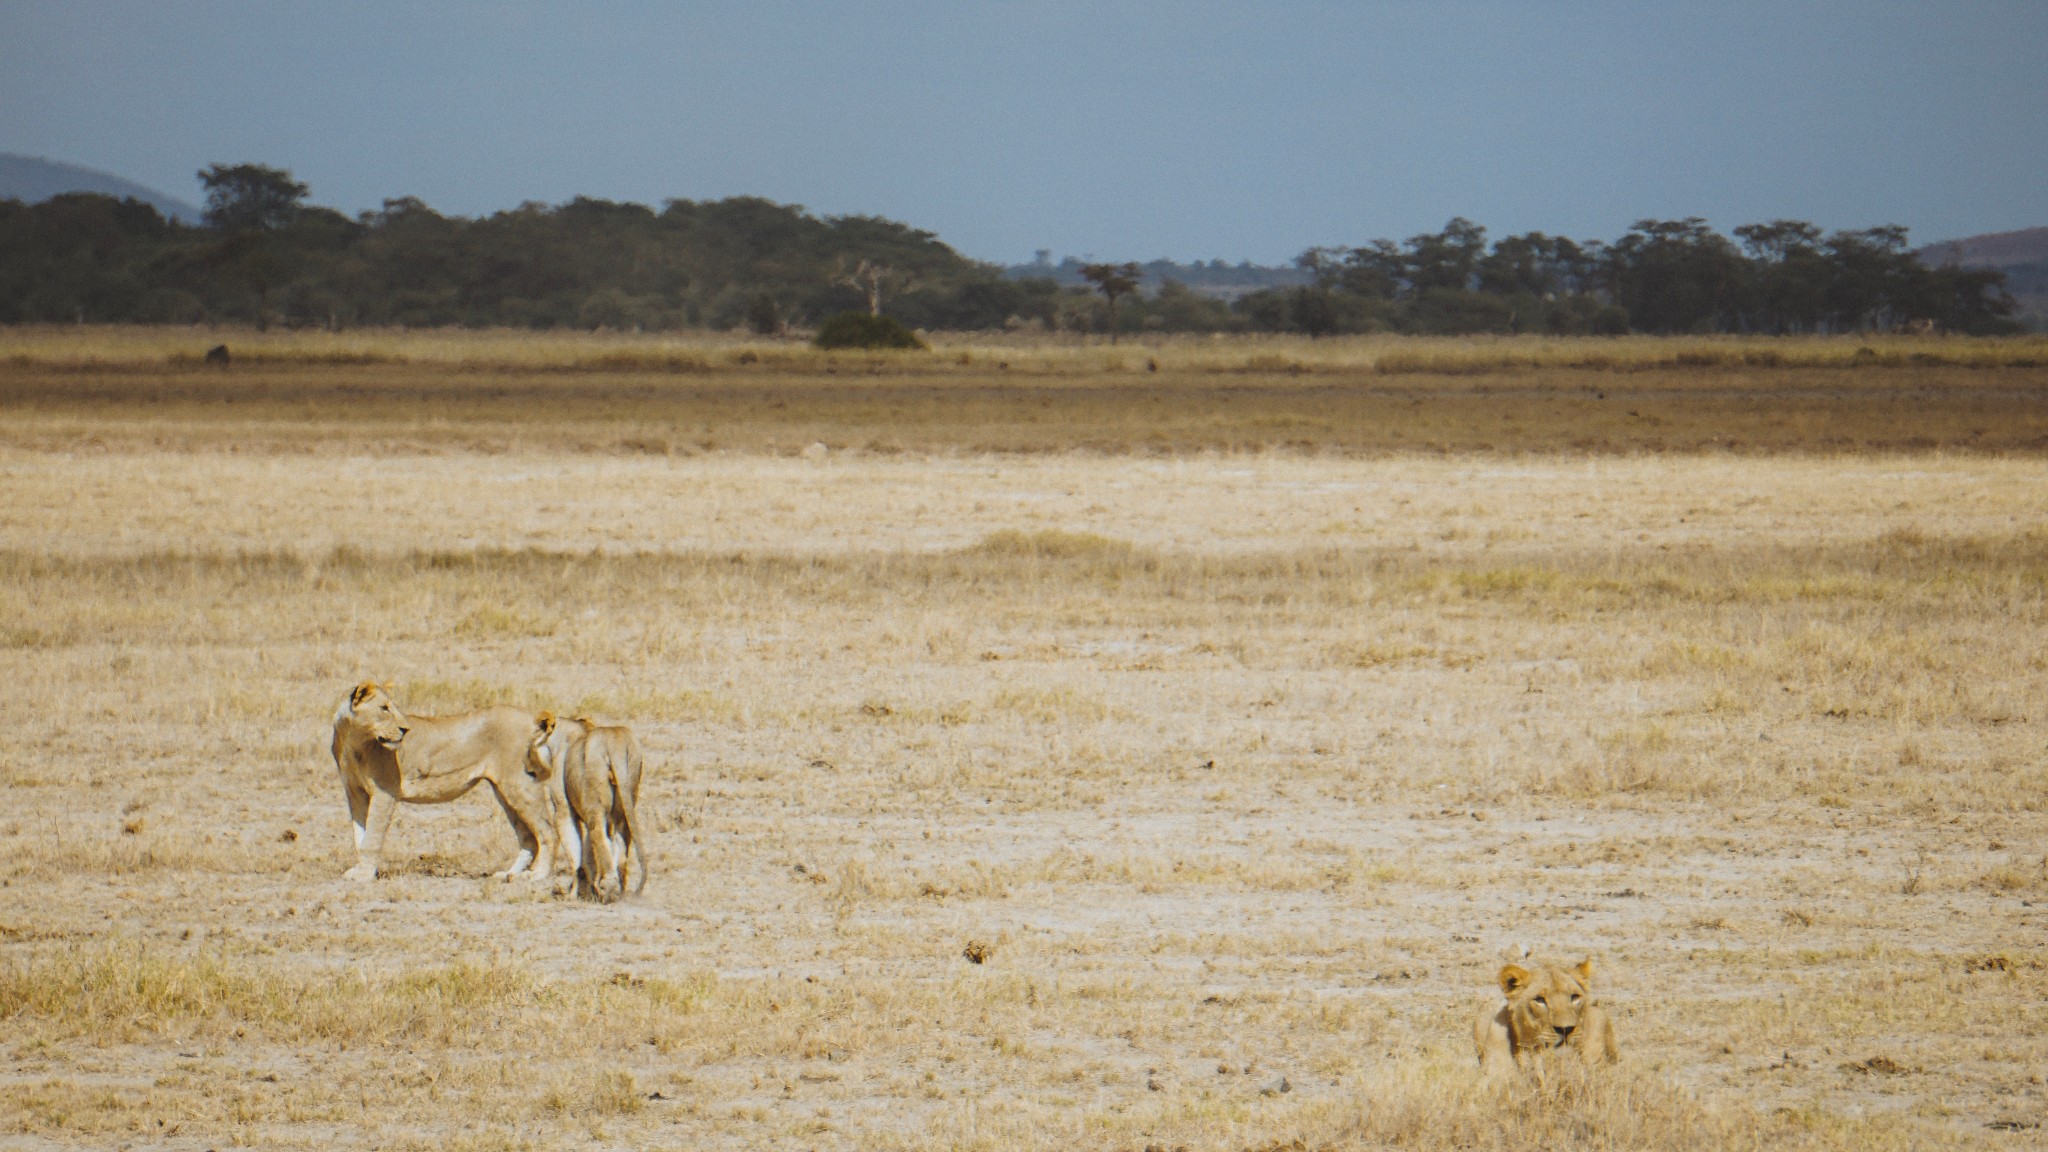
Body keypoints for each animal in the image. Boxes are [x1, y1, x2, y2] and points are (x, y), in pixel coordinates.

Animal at [333, 680, 561, 877]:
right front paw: (362, 870)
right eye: (384, 708)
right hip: (505, 792)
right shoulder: (355, 793)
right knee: (528, 838)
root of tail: (533, 717)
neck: (353, 743)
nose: (405, 729)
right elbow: (359, 835)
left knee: (549, 832)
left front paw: (363, 875)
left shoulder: (385, 792)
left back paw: (538, 875)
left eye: (394, 708)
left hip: (520, 785)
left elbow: (371, 837)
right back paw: (509, 875)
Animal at [528, 709, 647, 897]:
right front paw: (590, 890)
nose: (526, 768)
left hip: (595, 807)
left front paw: (575, 894)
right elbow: (588, 852)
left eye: (529, 749)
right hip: (625, 801)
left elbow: (576, 852)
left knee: (600, 836)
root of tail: (615, 743)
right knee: (620, 841)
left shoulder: (563, 810)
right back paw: (620, 889)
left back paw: (609, 889)